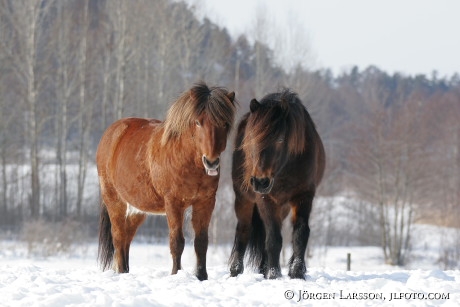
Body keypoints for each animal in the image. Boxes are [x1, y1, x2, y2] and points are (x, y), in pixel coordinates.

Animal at [95, 82, 235, 282]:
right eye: (198, 122)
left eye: (224, 123)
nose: (211, 162)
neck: (185, 159)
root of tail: (111, 133)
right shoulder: (173, 203)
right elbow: (177, 242)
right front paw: (176, 274)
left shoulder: (205, 203)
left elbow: (201, 241)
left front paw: (201, 276)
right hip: (114, 200)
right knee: (119, 235)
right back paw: (121, 271)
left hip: (137, 208)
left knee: (127, 236)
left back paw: (126, 271)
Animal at [229, 89, 324, 280]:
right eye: (252, 138)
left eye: (280, 140)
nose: (260, 181)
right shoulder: (265, 198)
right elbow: (273, 239)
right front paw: (274, 274)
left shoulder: (304, 196)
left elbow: (300, 234)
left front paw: (296, 272)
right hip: (243, 198)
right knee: (243, 230)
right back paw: (236, 270)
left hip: (283, 206)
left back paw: (263, 268)